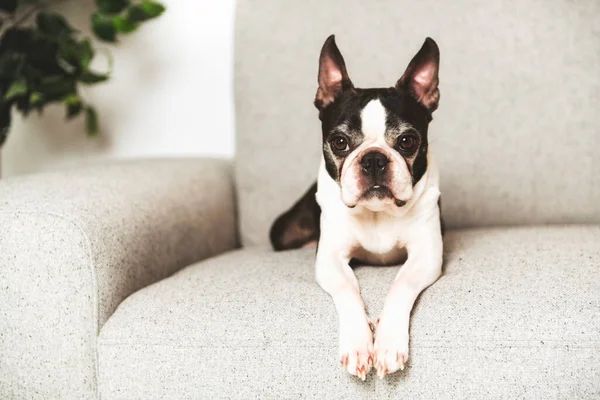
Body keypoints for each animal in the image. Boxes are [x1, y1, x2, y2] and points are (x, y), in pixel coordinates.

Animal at [270, 36, 442, 380]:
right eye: (339, 142)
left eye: (407, 141)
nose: (374, 158)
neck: (378, 213)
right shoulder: (330, 259)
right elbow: (347, 290)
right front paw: (359, 344)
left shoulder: (427, 254)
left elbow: (401, 283)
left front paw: (387, 342)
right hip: (284, 232)